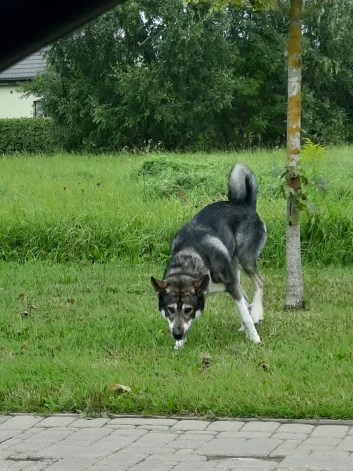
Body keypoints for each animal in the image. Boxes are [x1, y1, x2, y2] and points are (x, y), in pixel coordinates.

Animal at [150, 163, 266, 350]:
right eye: (170, 309)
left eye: (188, 309)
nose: (177, 334)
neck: (191, 261)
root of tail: (244, 204)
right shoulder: (232, 285)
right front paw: (179, 345)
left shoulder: (232, 285)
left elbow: (245, 315)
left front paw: (255, 338)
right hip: (236, 269)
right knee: (247, 298)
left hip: (245, 261)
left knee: (259, 283)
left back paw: (256, 314)